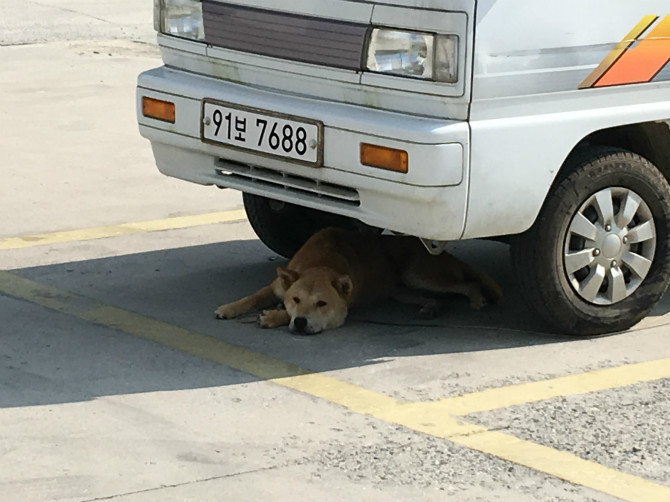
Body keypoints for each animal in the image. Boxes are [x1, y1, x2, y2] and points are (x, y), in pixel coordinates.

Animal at [215, 227, 504, 334]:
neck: (321, 262)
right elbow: (252, 297)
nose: (300, 323)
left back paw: (476, 299)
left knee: (466, 284)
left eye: (322, 304)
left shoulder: (346, 305)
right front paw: (229, 308)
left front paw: (275, 316)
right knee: (437, 299)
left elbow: (283, 313)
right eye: (295, 298)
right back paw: (430, 308)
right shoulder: (276, 285)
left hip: (417, 274)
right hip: (400, 290)